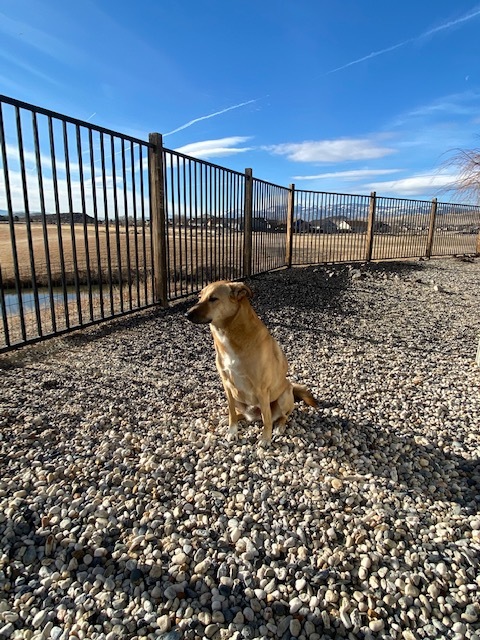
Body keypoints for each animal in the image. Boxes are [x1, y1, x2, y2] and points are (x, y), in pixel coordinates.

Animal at [186, 280, 316, 444]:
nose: (186, 314)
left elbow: (267, 419)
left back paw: (279, 427)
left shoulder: (262, 389)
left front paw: (266, 438)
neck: (228, 334)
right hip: (237, 398)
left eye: (213, 299)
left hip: (283, 397)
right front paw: (232, 430)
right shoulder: (227, 385)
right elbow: (231, 412)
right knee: (242, 414)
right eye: (200, 297)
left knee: (282, 416)